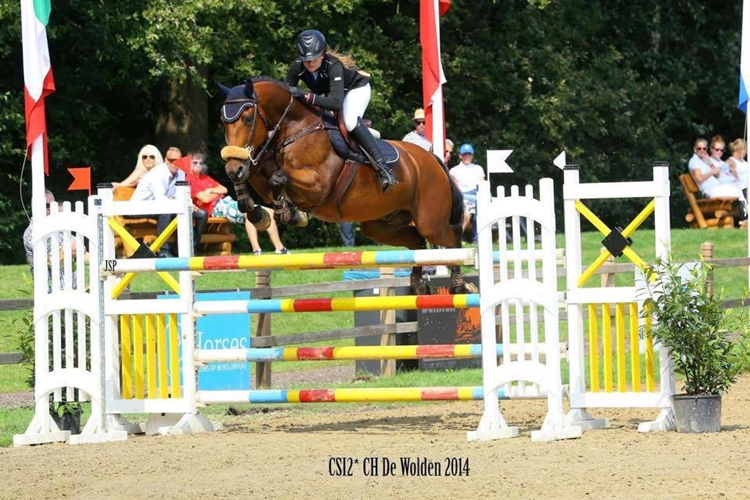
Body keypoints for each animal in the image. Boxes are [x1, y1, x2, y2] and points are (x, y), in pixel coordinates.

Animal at [217, 76, 476, 294]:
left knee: (452, 240)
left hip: (430, 221)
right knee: (418, 242)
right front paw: (261, 213)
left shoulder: (318, 185)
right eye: (223, 122)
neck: (296, 129)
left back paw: (458, 285)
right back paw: (418, 283)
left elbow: (279, 178)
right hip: (381, 226)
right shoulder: (262, 170)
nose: (232, 167)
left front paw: (289, 213)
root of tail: (432, 159)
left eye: (247, 118)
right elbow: (257, 179)